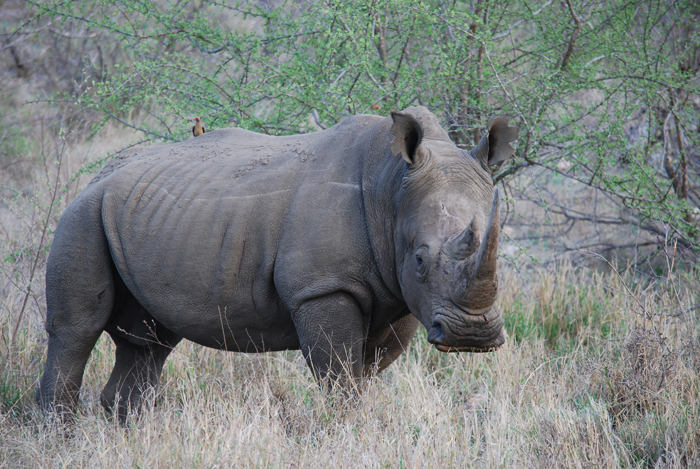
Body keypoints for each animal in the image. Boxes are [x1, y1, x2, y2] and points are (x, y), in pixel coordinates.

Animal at [36, 106, 518, 420]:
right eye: (419, 257)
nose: (471, 336)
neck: (392, 188)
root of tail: (99, 175)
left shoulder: (398, 296)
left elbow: (364, 374)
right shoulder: (322, 287)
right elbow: (339, 378)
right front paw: (343, 430)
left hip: (148, 217)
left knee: (148, 341)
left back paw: (129, 429)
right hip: (83, 212)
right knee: (77, 329)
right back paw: (59, 430)